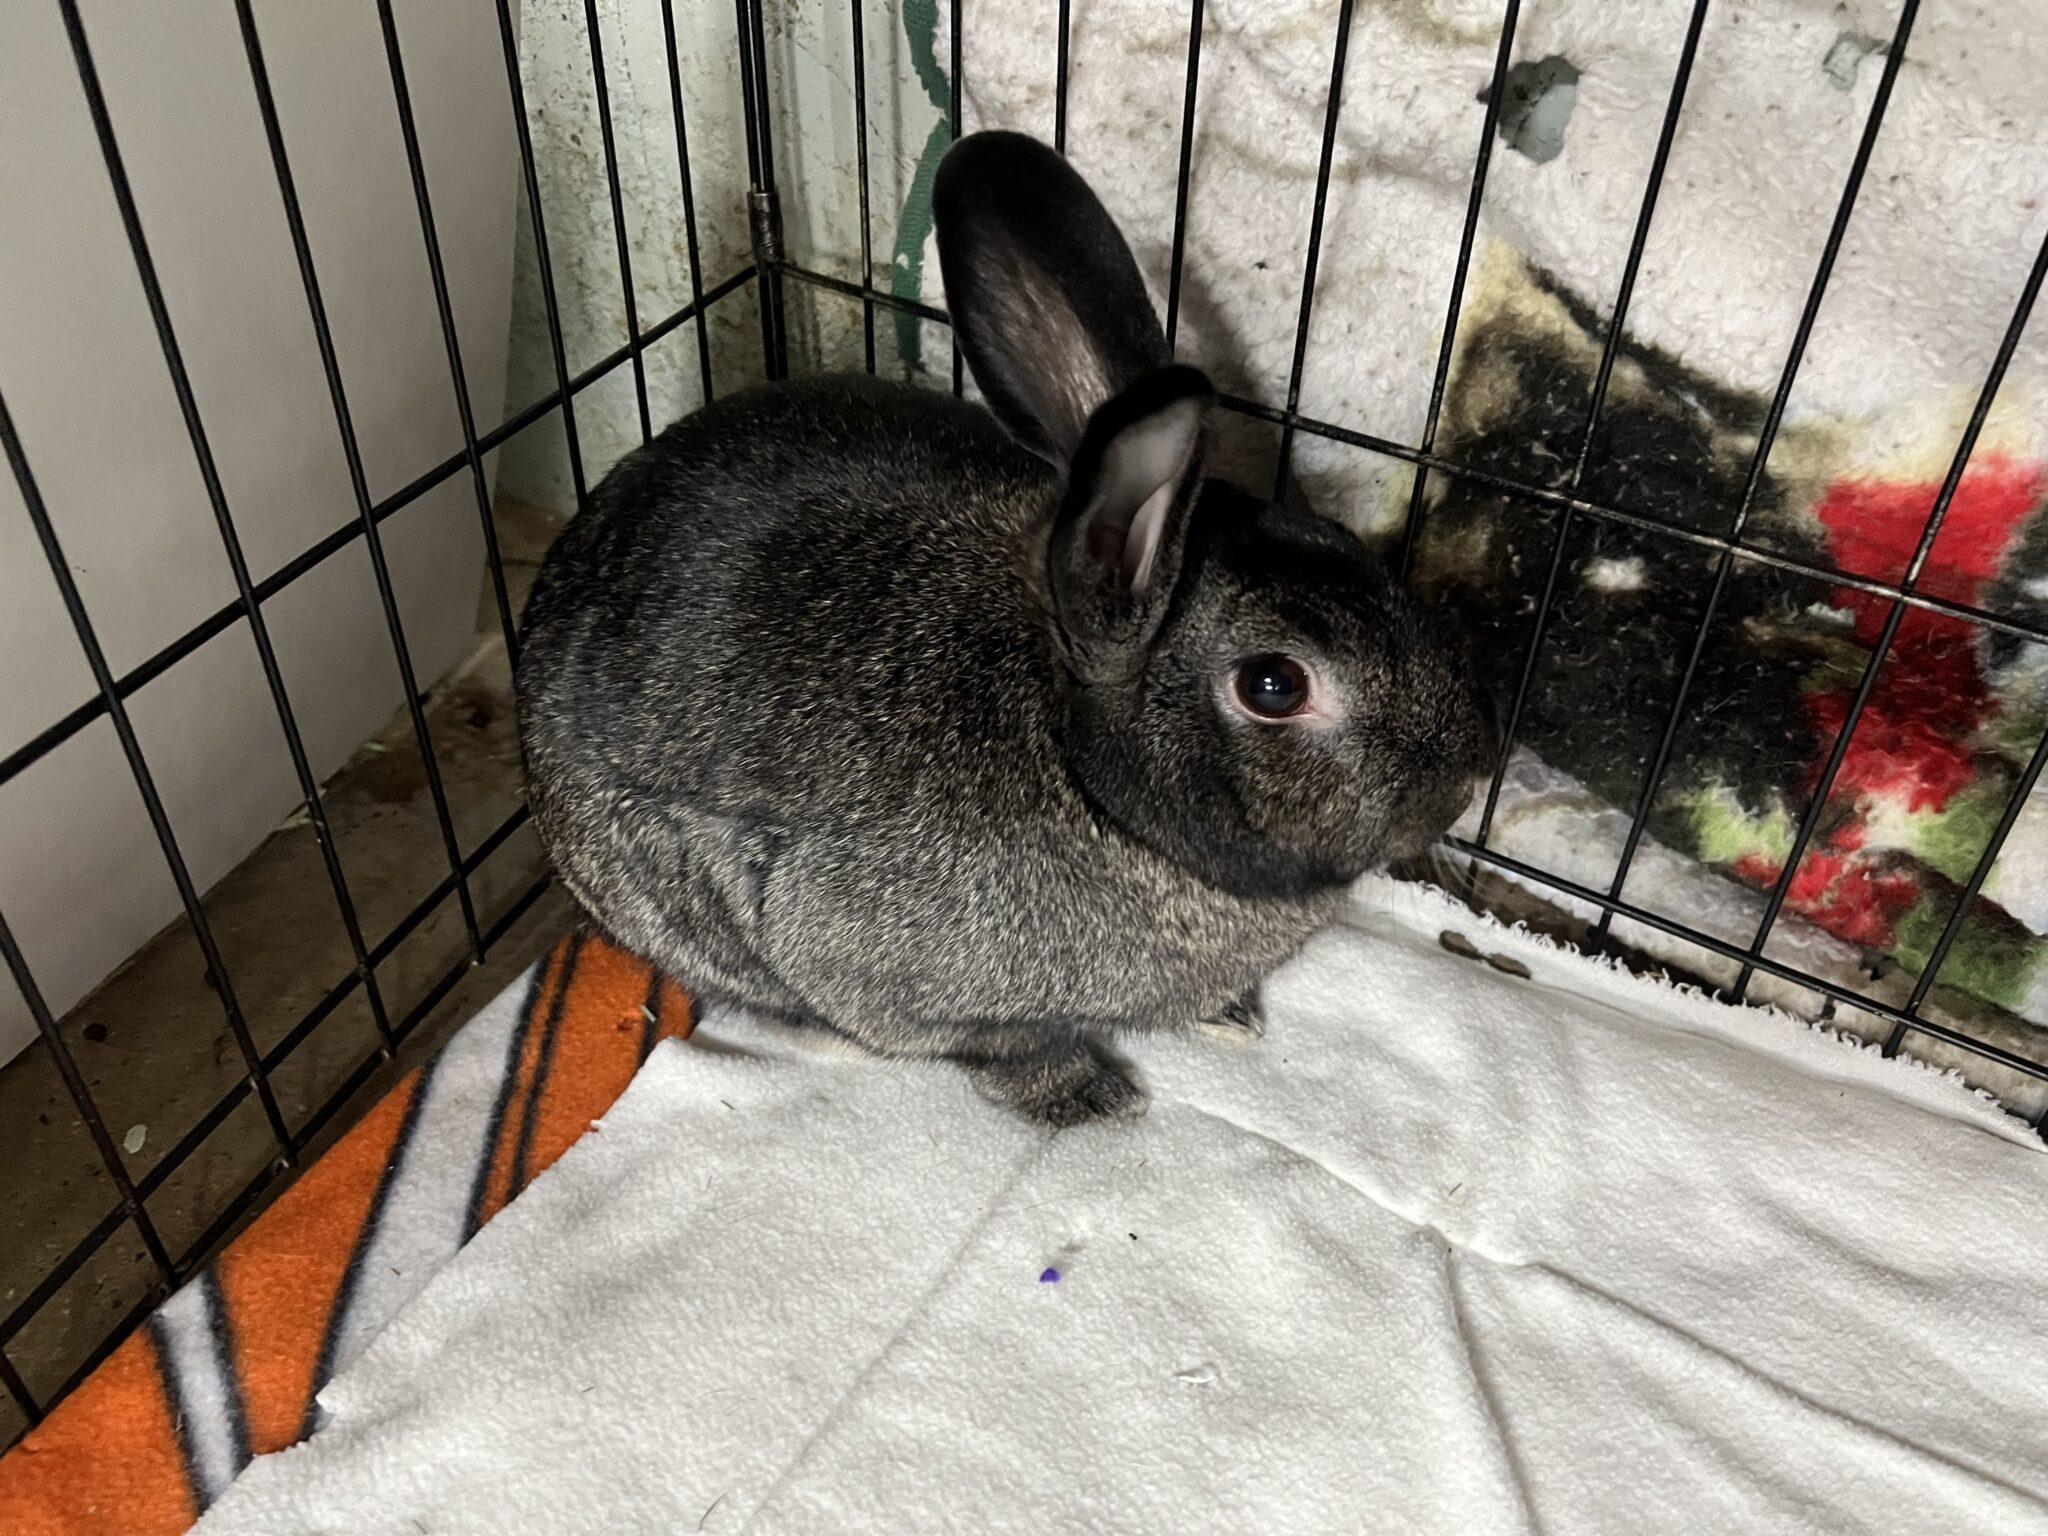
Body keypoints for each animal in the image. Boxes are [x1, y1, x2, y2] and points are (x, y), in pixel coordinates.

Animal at [515, 130, 1495, 1126]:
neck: (1079, 760)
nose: (1461, 786)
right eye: (1274, 685)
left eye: (1345, 541)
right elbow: (994, 1043)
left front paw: (1228, 1014)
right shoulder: (872, 963)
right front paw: (1091, 1095)